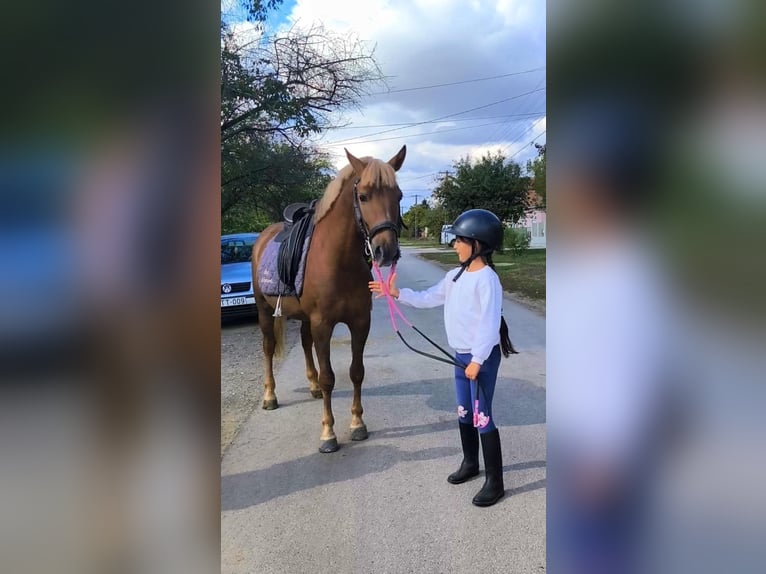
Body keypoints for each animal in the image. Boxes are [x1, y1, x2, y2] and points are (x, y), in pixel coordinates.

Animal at [251, 146, 406, 453]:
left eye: (399, 196)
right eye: (363, 196)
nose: (387, 251)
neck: (339, 261)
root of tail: (263, 237)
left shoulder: (360, 322)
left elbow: (356, 371)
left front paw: (357, 424)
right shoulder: (323, 324)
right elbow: (329, 378)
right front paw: (328, 434)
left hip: (303, 316)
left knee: (304, 342)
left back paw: (309, 386)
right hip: (264, 311)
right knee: (268, 348)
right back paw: (270, 397)